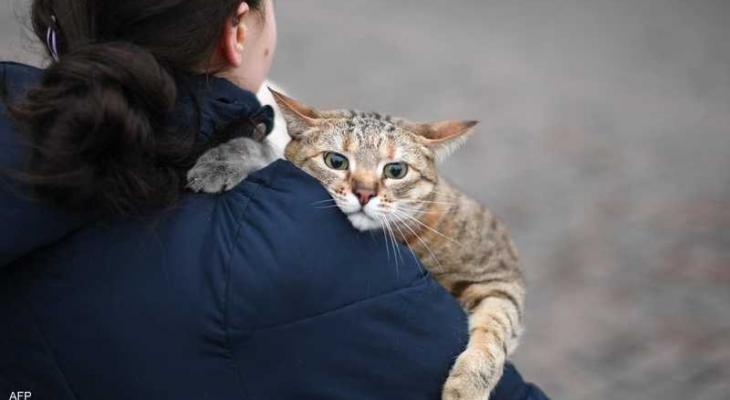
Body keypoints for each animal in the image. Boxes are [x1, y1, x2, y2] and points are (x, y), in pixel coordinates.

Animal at [186, 90, 524, 400]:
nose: (363, 193)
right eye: (335, 161)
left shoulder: (500, 275)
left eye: (396, 170)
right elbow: (262, 151)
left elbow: (495, 330)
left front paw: (466, 385)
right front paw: (221, 162)